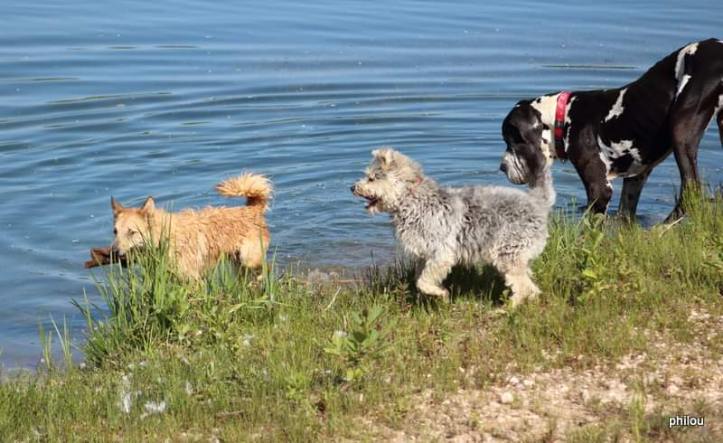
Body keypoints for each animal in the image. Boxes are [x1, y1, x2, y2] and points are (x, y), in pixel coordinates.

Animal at [110, 174, 272, 280]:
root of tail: (252, 210)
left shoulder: (191, 278)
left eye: (131, 232)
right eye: (115, 231)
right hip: (237, 262)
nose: (115, 253)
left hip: (248, 259)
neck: (164, 237)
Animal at [350, 147, 556, 306]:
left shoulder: (441, 253)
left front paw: (440, 293)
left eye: (372, 178)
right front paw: (437, 291)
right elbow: (418, 279)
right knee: (531, 287)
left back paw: (507, 309)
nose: (352, 187)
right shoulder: (425, 254)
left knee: (524, 288)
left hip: (509, 253)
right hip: (518, 255)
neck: (412, 199)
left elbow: (424, 280)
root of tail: (537, 201)